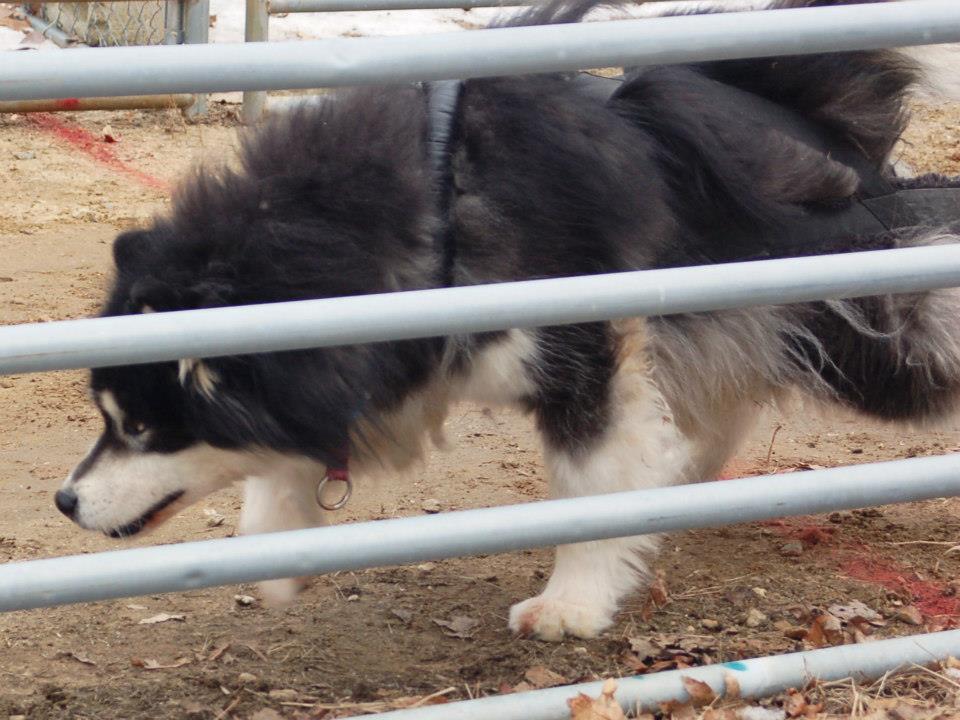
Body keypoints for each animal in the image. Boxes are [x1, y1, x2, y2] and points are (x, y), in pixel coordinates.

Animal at [54, 0, 960, 640]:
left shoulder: (583, 357)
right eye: (105, 418)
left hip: (874, 326)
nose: (64, 500)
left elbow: (591, 491)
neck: (432, 209)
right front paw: (281, 551)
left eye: (141, 427)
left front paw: (572, 604)